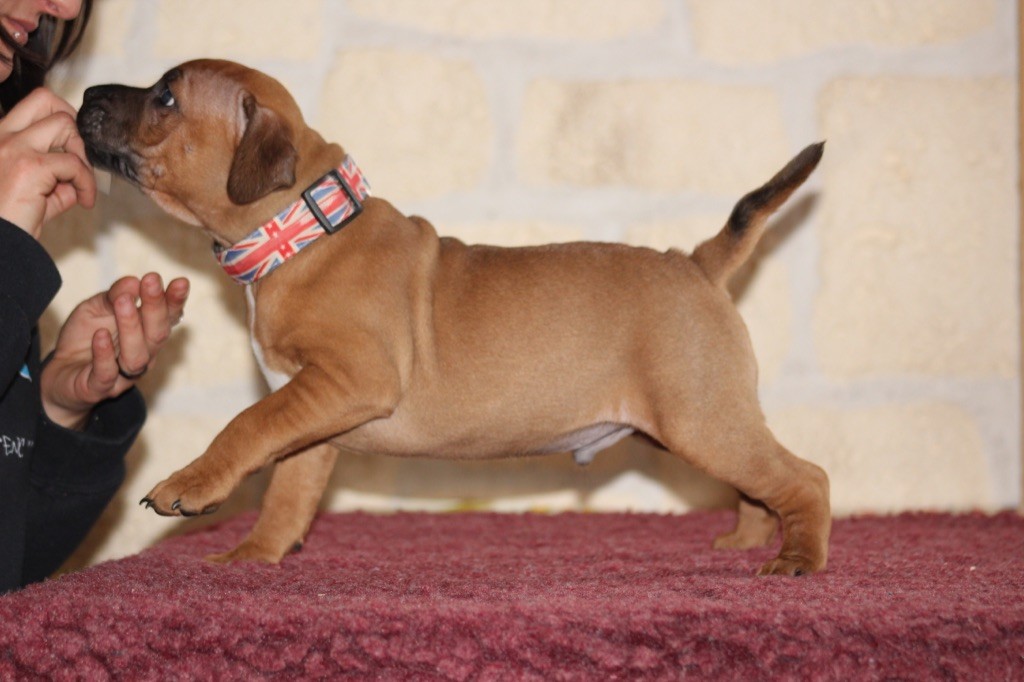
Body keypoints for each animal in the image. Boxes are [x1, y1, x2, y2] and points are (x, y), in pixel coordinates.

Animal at [79, 58, 831, 573]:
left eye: (166, 97)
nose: (85, 94)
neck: (304, 230)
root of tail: (696, 262)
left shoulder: (350, 379)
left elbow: (244, 425)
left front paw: (190, 484)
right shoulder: (309, 411)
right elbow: (286, 488)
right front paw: (254, 557)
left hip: (702, 418)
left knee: (805, 477)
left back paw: (797, 558)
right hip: (703, 423)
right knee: (760, 486)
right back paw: (746, 539)